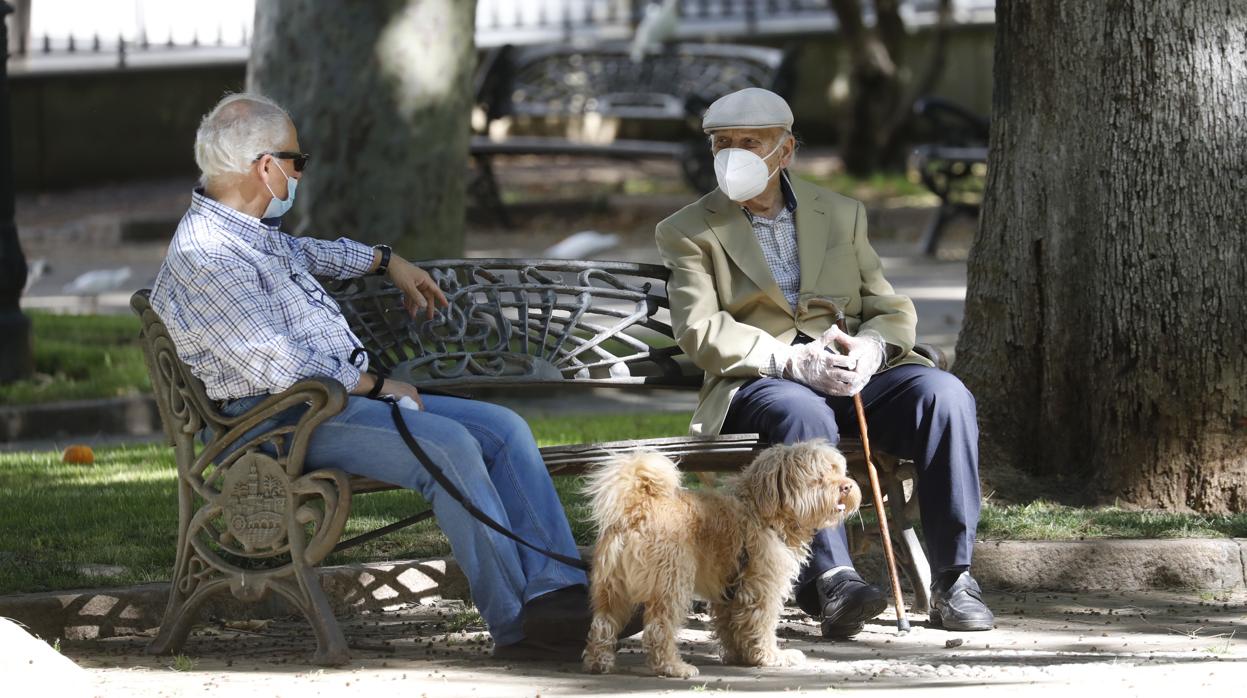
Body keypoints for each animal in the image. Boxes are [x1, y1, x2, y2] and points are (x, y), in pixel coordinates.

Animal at [581, 441, 857, 678]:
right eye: (819, 476)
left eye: (838, 470)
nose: (846, 486)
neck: (762, 511)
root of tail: (637, 508)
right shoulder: (762, 588)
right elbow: (761, 625)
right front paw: (770, 657)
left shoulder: (730, 593)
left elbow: (732, 627)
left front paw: (740, 656)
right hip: (671, 586)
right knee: (658, 631)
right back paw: (674, 667)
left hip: (611, 591)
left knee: (602, 626)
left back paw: (598, 663)